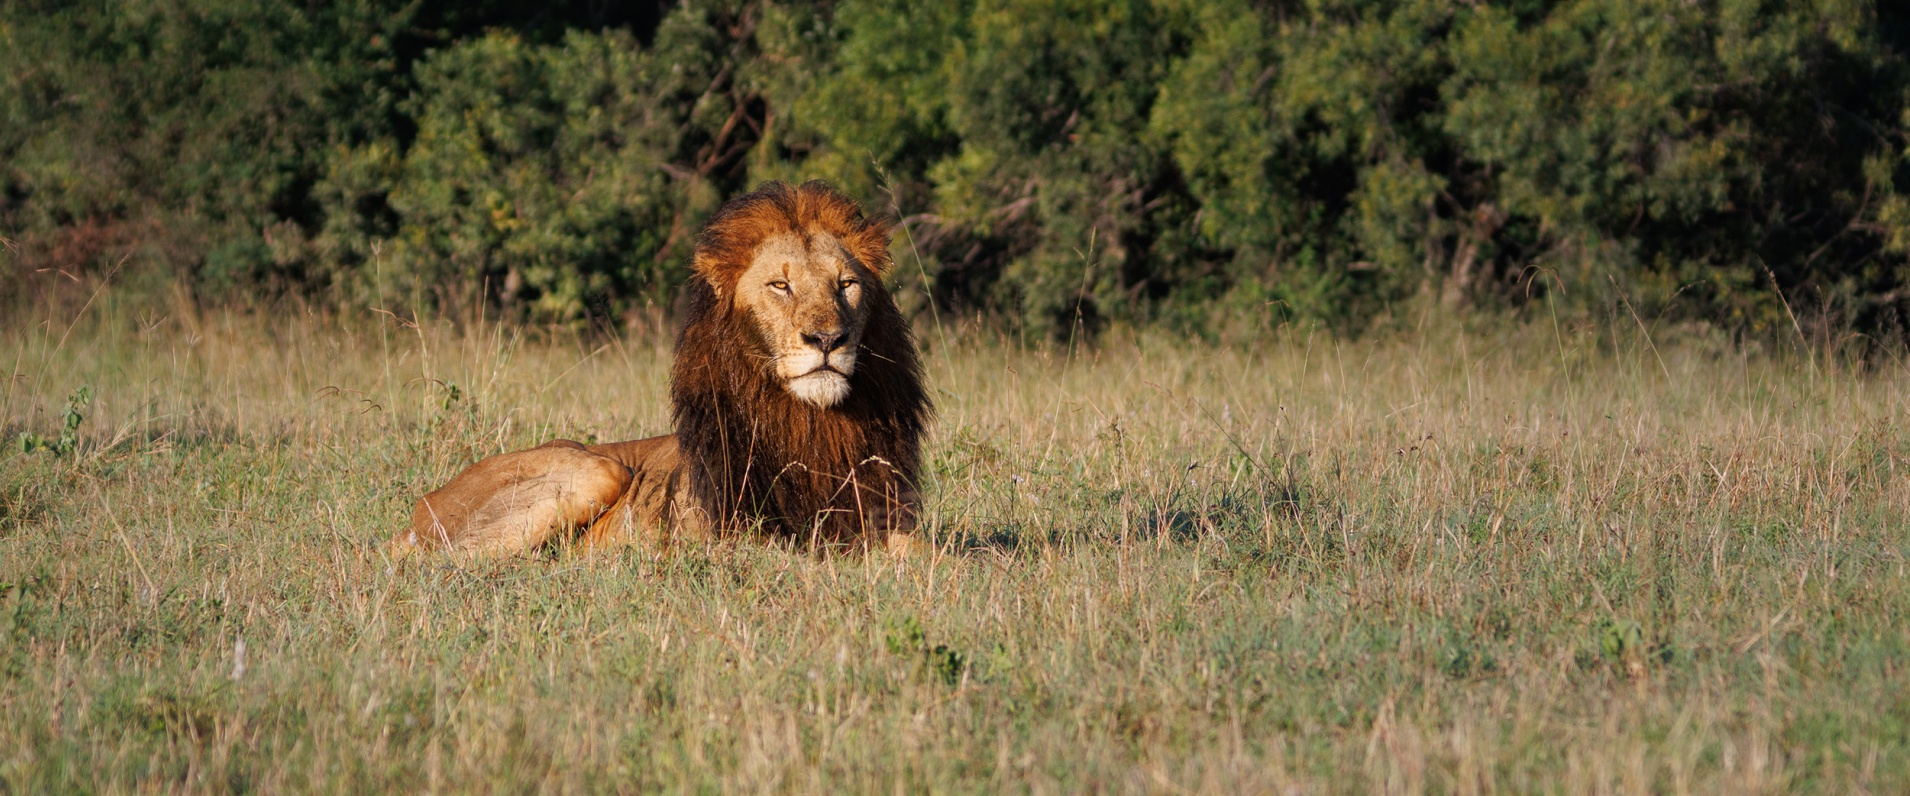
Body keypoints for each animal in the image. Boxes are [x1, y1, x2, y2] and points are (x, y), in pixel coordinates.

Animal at [393, 181, 932, 557]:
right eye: (781, 285)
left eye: (846, 285)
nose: (827, 340)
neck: (812, 426)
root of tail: (421, 506)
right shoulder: (742, 539)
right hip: (596, 470)